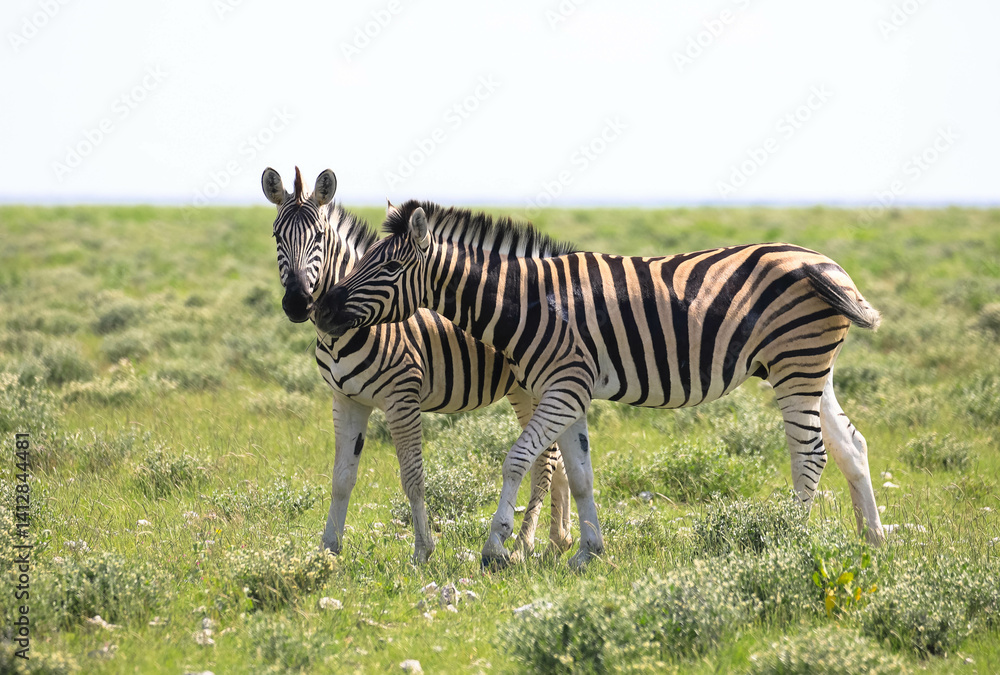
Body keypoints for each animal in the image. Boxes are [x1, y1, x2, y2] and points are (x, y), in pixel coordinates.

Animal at [261, 169, 571, 563]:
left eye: (318, 236)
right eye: (276, 236)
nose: (299, 303)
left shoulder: (402, 399)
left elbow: (412, 477)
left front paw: (423, 551)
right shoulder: (346, 400)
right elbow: (341, 478)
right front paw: (328, 550)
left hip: (534, 388)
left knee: (546, 459)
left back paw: (524, 545)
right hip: (531, 389)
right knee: (558, 457)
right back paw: (558, 539)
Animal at [315, 200, 887, 569]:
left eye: (388, 266)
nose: (319, 310)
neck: (528, 303)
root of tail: (826, 262)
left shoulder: (565, 385)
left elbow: (517, 459)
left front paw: (496, 548)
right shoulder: (567, 389)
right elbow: (581, 472)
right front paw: (587, 552)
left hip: (796, 364)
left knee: (810, 453)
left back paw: (788, 542)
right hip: (811, 368)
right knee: (850, 445)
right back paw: (874, 541)